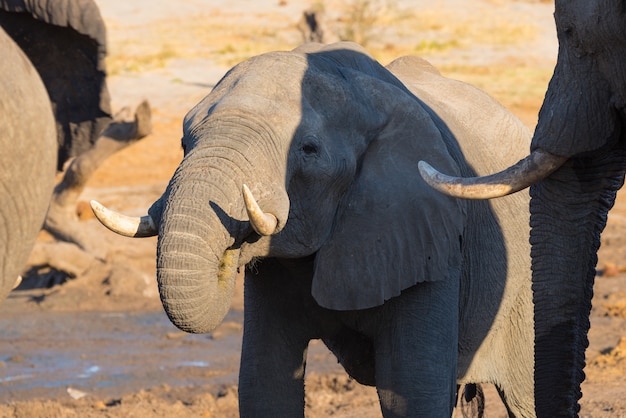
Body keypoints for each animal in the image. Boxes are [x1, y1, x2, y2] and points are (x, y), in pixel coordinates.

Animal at [91, 41, 532, 414]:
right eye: (184, 142)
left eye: (308, 150)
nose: (229, 252)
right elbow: (263, 382)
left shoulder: (424, 235)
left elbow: (412, 389)